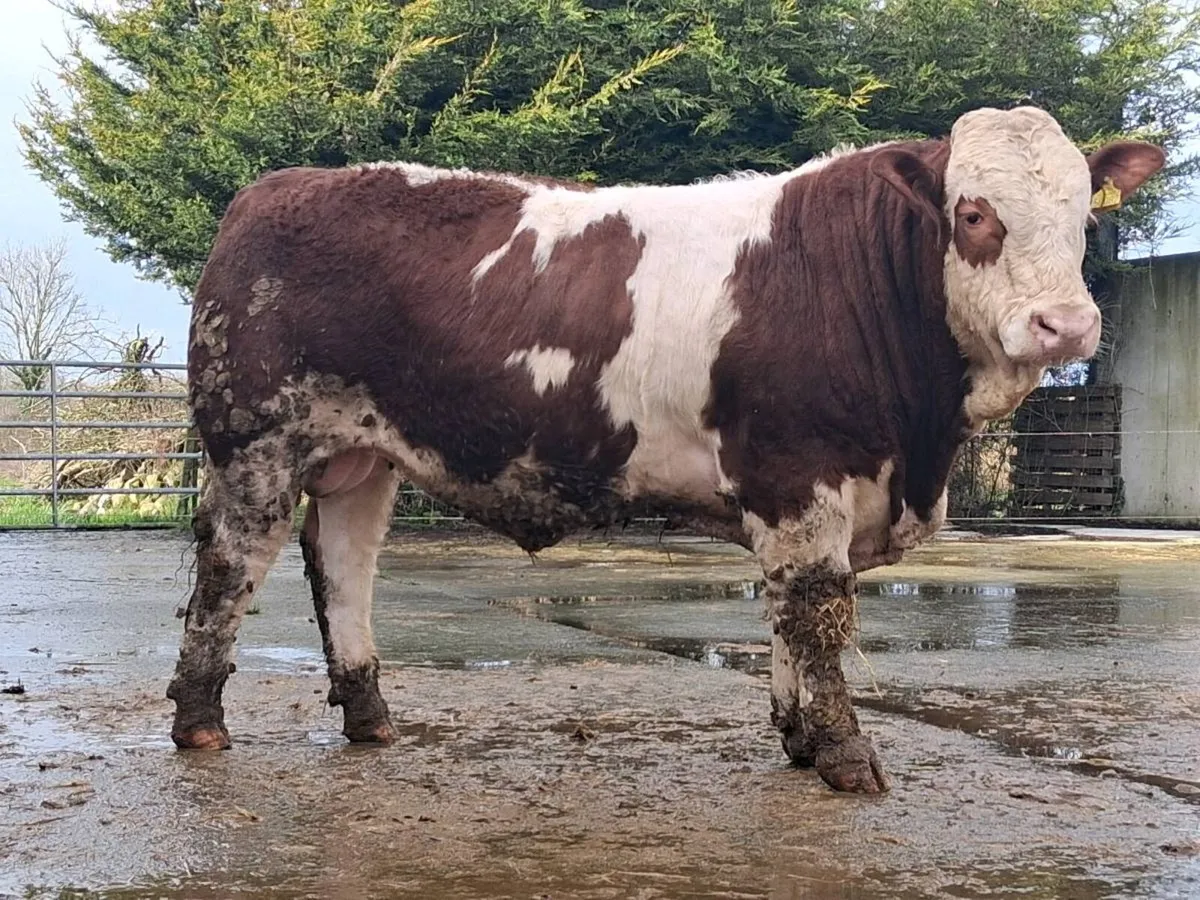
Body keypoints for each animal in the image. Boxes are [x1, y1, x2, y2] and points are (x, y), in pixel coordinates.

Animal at [169, 105, 1164, 793]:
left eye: (1085, 217)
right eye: (974, 213)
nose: (1066, 324)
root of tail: (270, 189)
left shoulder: (797, 493)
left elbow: (786, 613)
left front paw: (799, 739)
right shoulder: (803, 473)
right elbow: (819, 612)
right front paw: (847, 756)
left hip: (363, 458)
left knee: (344, 566)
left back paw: (371, 719)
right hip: (255, 443)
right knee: (228, 568)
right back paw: (200, 724)